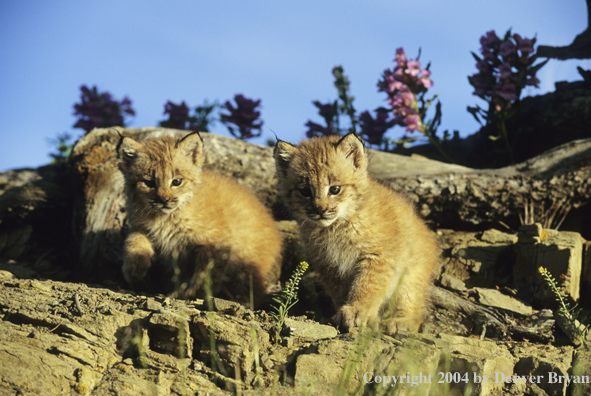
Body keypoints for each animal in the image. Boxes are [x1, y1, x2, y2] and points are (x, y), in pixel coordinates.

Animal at [118, 132, 282, 306]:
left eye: (177, 181)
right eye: (149, 183)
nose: (164, 200)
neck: (165, 217)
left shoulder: (215, 240)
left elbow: (207, 273)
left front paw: (194, 294)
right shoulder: (140, 224)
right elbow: (134, 239)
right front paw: (134, 267)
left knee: (253, 293)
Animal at [276, 134, 438, 334]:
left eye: (335, 189)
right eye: (305, 191)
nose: (320, 210)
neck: (335, 227)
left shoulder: (376, 257)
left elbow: (367, 286)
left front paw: (358, 311)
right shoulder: (329, 264)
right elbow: (340, 291)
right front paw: (344, 313)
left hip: (411, 274)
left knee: (414, 307)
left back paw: (402, 322)